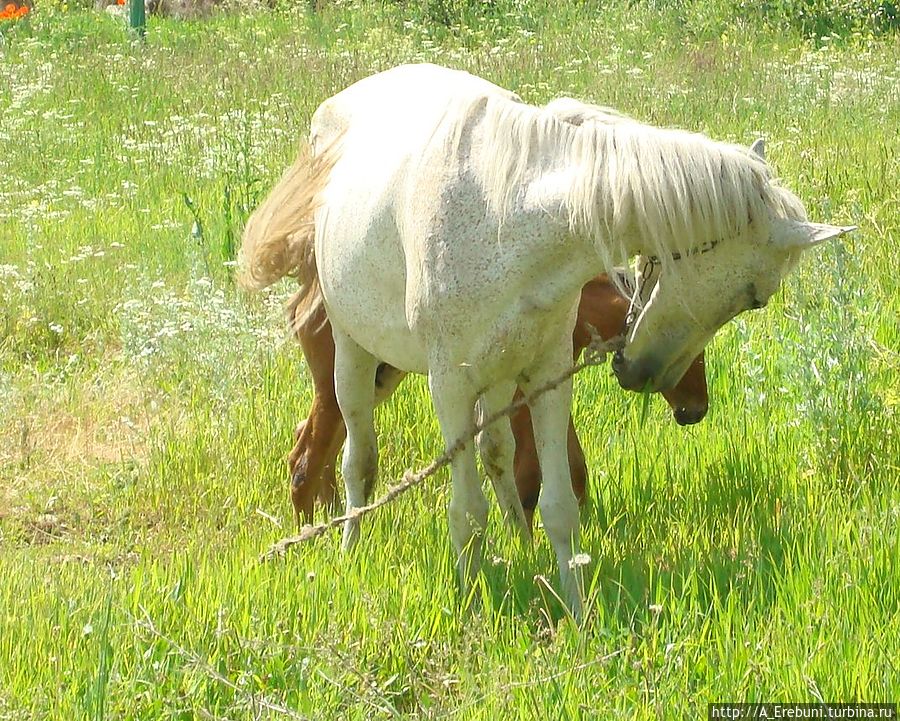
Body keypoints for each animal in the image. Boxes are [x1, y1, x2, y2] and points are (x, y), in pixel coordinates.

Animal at [284, 272, 708, 524]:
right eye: (693, 346)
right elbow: (527, 477)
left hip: (374, 384)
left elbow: (572, 469)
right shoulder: (515, 401)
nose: (696, 410)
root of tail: (303, 302)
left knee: (311, 442)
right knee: (306, 459)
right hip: (344, 387)